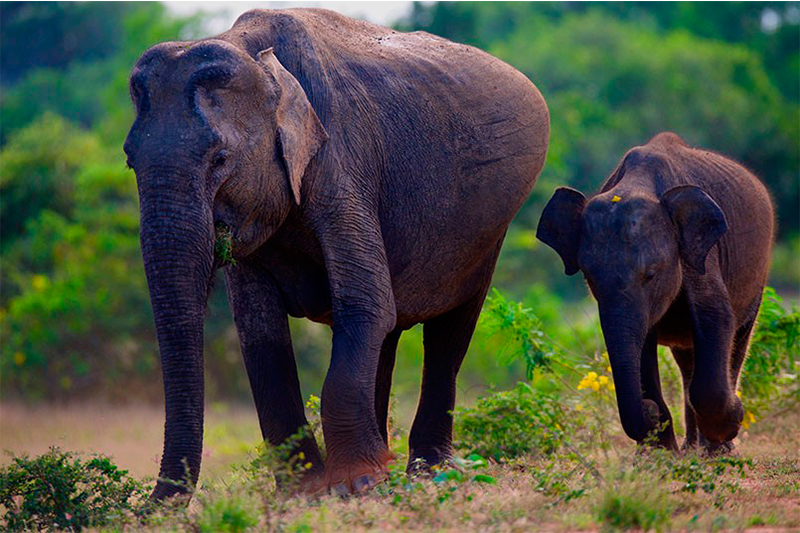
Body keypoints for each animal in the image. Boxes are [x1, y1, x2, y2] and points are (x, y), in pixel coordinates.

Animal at [125, 8, 552, 498]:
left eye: (220, 159)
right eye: (130, 160)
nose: (152, 505)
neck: (252, 50)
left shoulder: (341, 163)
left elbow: (366, 305)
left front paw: (355, 485)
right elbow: (260, 332)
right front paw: (304, 490)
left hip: (489, 228)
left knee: (449, 330)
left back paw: (427, 472)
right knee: (389, 333)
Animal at [536, 132, 776, 448]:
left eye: (650, 275)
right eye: (589, 278)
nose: (648, 411)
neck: (638, 182)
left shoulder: (700, 256)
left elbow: (716, 318)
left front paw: (734, 418)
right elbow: (642, 345)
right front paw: (659, 450)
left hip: (756, 279)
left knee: (737, 339)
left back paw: (715, 448)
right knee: (687, 359)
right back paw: (692, 447)